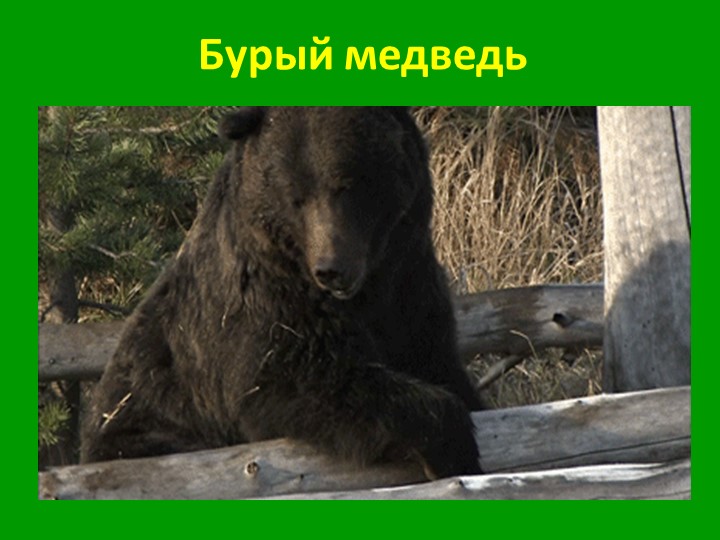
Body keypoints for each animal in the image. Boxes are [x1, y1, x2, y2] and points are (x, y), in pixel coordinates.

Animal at [81, 107, 482, 479]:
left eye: (346, 184)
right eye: (296, 197)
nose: (330, 269)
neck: (367, 289)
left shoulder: (409, 286)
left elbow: (436, 359)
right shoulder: (266, 304)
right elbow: (307, 380)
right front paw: (455, 448)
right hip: (146, 426)